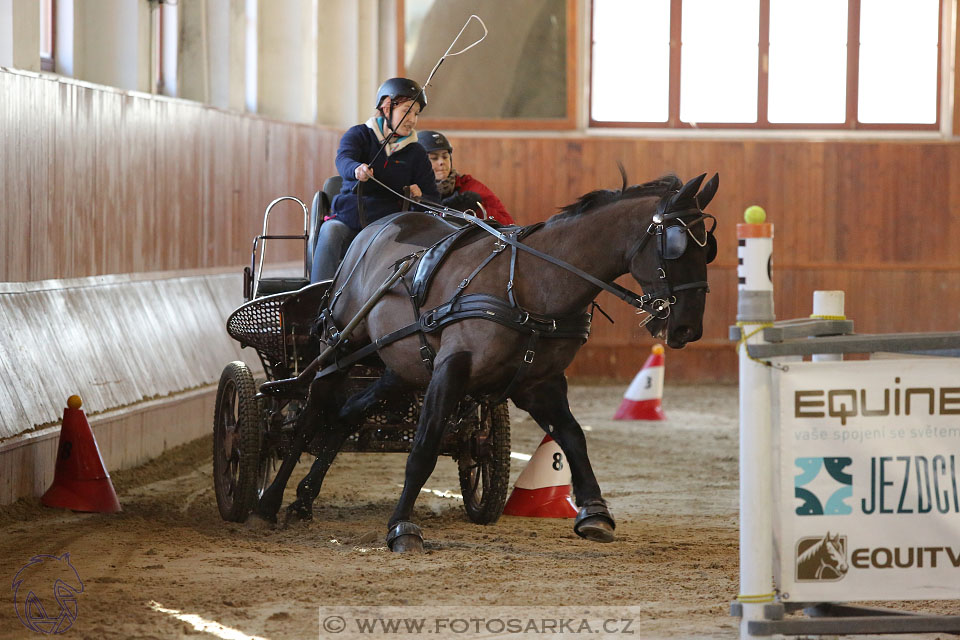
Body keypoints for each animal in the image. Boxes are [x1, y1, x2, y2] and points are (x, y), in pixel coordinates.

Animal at [255, 170, 720, 552]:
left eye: (708, 249)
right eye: (675, 247)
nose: (687, 328)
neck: (531, 282)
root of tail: (377, 225)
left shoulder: (538, 383)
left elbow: (572, 436)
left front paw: (595, 511)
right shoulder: (451, 370)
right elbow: (424, 445)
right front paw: (402, 526)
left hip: (400, 368)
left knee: (347, 413)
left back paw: (305, 497)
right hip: (341, 346)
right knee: (312, 413)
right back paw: (272, 499)